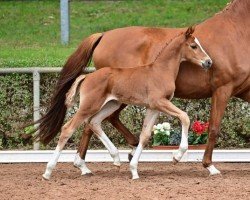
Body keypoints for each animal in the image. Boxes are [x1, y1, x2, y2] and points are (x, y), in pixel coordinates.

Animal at [42, 27, 212, 180]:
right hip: (89, 106)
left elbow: (145, 135)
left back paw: (116, 158)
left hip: (111, 104)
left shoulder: (154, 107)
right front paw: (177, 156)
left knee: (94, 122)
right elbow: (185, 117)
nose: (208, 62)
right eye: (193, 46)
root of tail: (87, 77)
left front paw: (134, 170)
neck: (161, 70)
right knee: (68, 128)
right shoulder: (159, 102)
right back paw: (48, 172)